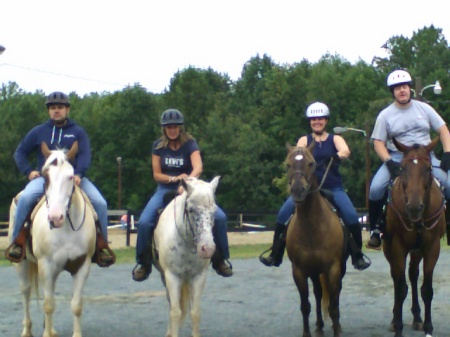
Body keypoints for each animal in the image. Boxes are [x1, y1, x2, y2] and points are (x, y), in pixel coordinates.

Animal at [7, 142, 96, 336]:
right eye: (45, 176)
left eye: (70, 176)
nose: (55, 218)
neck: (67, 229)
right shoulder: (45, 264)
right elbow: (48, 305)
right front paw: (46, 333)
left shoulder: (82, 265)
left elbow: (76, 305)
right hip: (22, 263)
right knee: (26, 291)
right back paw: (27, 330)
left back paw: (51, 328)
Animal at [153, 176, 220, 336]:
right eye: (191, 209)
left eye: (214, 210)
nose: (207, 248)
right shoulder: (172, 276)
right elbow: (175, 312)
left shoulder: (198, 276)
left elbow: (195, 312)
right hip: (165, 276)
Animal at [284, 142, 348, 336]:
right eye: (287, 165)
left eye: (311, 163)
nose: (298, 190)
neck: (311, 227)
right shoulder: (299, 271)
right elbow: (305, 305)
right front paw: (307, 332)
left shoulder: (333, 268)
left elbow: (333, 305)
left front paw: (337, 330)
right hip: (313, 271)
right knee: (318, 293)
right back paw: (319, 325)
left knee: (335, 294)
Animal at [384, 137, 446, 336]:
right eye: (402, 168)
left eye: (428, 169)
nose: (413, 207)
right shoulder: (397, 247)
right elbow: (400, 288)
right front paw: (398, 327)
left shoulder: (432, 248)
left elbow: (426, 289)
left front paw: (428, 327)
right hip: (390, 249)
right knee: (397, 278)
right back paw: (395, 319)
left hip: (417, 250)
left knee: (412, 274)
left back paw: (418, 318)